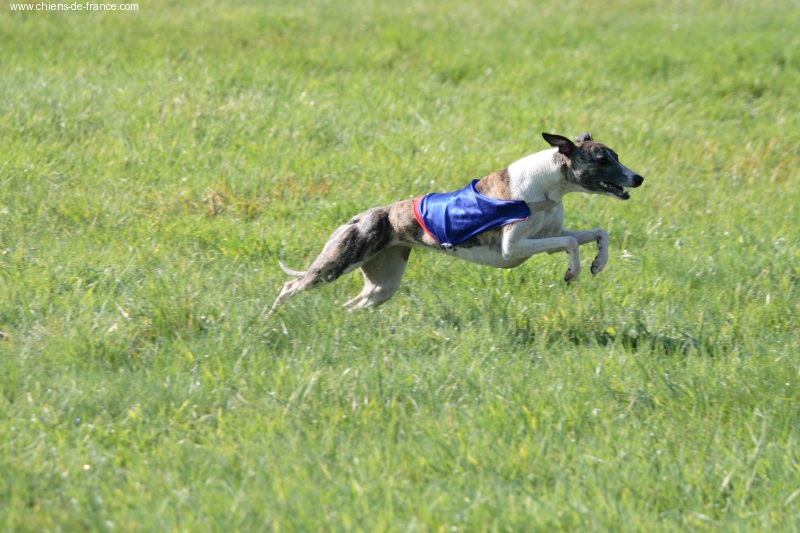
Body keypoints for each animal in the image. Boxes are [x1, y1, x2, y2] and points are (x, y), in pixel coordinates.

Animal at [270, 132, 643, 314]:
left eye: (617, 156)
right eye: (601, 159)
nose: (639, 178)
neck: (546, 186)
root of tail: (360, 217)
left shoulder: (549, 234)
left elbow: (595, 233)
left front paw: (597, 263)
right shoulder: (512, 248)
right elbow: (570, 243)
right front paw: (573, 271)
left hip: (383, 283)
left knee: (353, 304)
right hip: (336, 264)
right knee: (290, 286)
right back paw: (271, 319)